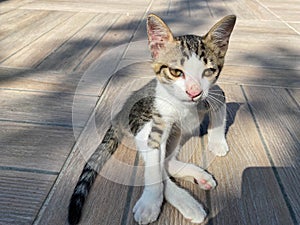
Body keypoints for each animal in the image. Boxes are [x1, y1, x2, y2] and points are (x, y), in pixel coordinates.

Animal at [68, 14, 237, 225]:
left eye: (208, 71)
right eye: (176, 72)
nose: (194, 92)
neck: (184, 107)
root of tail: (118, 116)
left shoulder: (213, 94)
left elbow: (219, 107)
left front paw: (217, 143)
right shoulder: (156, 125)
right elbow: (153, 167)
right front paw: (150, 202)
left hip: (177, 132)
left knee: (168, 161)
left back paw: (198, 179)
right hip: (141, 118)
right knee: (159, 162)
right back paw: (187, 202)